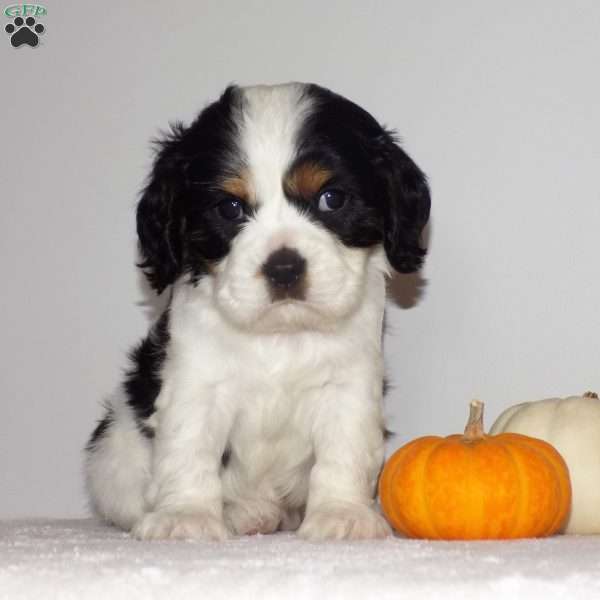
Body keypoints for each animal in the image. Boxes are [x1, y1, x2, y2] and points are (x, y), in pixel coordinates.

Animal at [84, 82, 432, 540]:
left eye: (332, 199)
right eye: (230, 208)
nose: (284, 268)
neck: (280, 333)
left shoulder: (349, 385)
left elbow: (344, 450)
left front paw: (342, 513)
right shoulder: (195, 382)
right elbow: (188, 446)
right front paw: (186, 515)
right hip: (113, 452)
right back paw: (241, 513)